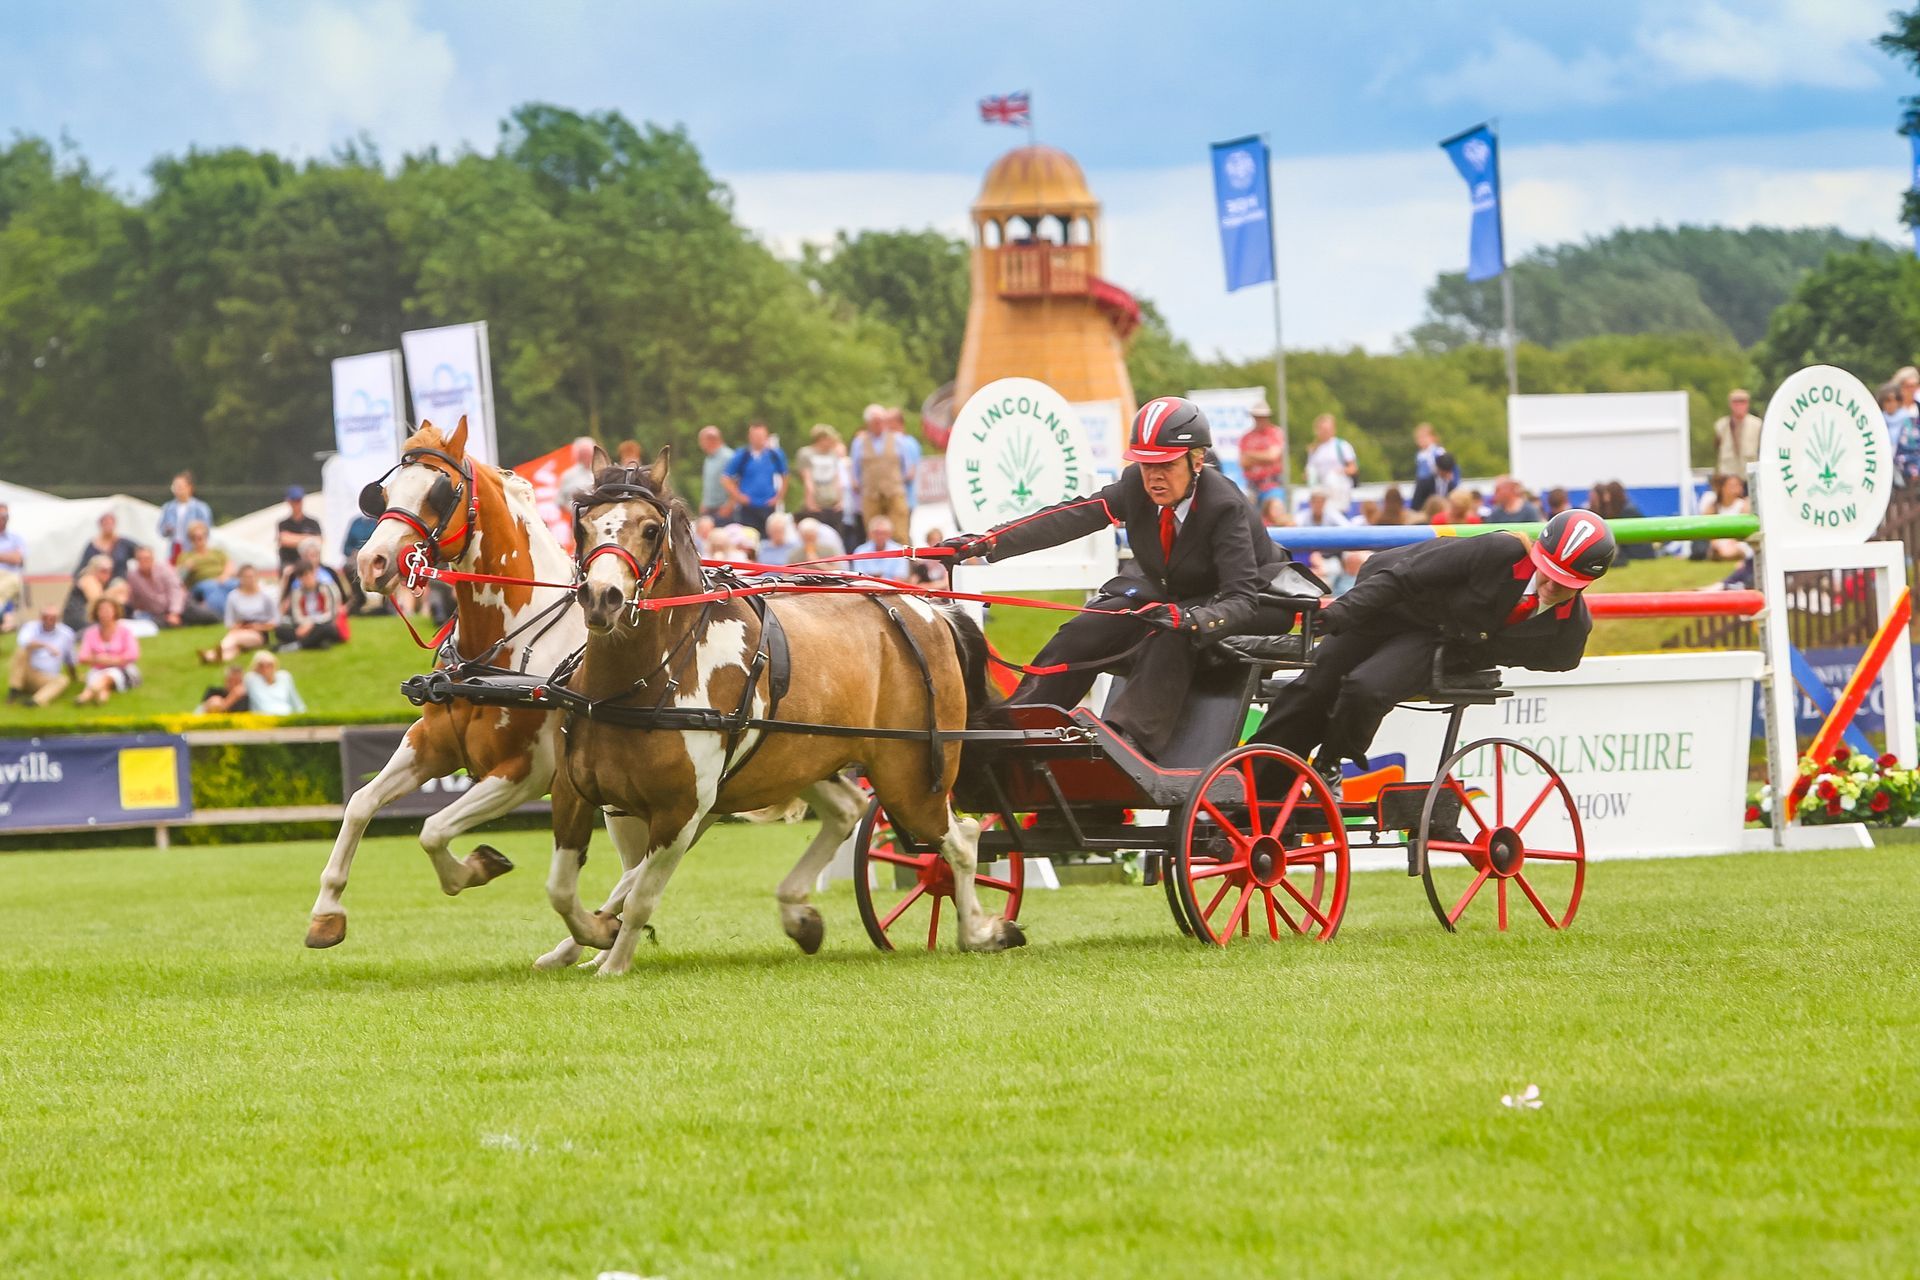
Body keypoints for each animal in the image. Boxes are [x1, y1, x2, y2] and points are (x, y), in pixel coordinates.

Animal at [307, 420, 648, 951]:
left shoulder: (525, 771)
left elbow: (432, 830)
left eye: (441, 491)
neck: (502, 657)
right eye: (381, 494)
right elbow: (360, 804)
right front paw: (326, 911)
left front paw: (476, 866)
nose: (371, 563)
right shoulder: (431, 745)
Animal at [545, 452, 1021, 982]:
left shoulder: (681, 809)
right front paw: (592, 936)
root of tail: (931, 609)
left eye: (650, 529)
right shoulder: (577, 794)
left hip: (909, 780)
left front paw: (613, 962)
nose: (601, 597)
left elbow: (642, 894)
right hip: (805, 758)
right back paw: (799, 914)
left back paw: (979, 931)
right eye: (583, 526)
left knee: (960, 840)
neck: (640, 681)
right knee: (847, 812)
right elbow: (564, 890)